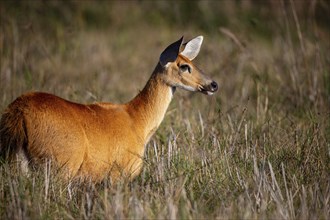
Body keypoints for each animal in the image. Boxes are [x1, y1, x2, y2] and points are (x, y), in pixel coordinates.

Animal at [0, 35, 218, 182]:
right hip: (59, 165)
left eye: (192, 62)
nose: (213, 84)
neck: (137, 119)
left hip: (16, 162)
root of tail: (19, 112)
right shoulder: (119, 174)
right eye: (184, 66)